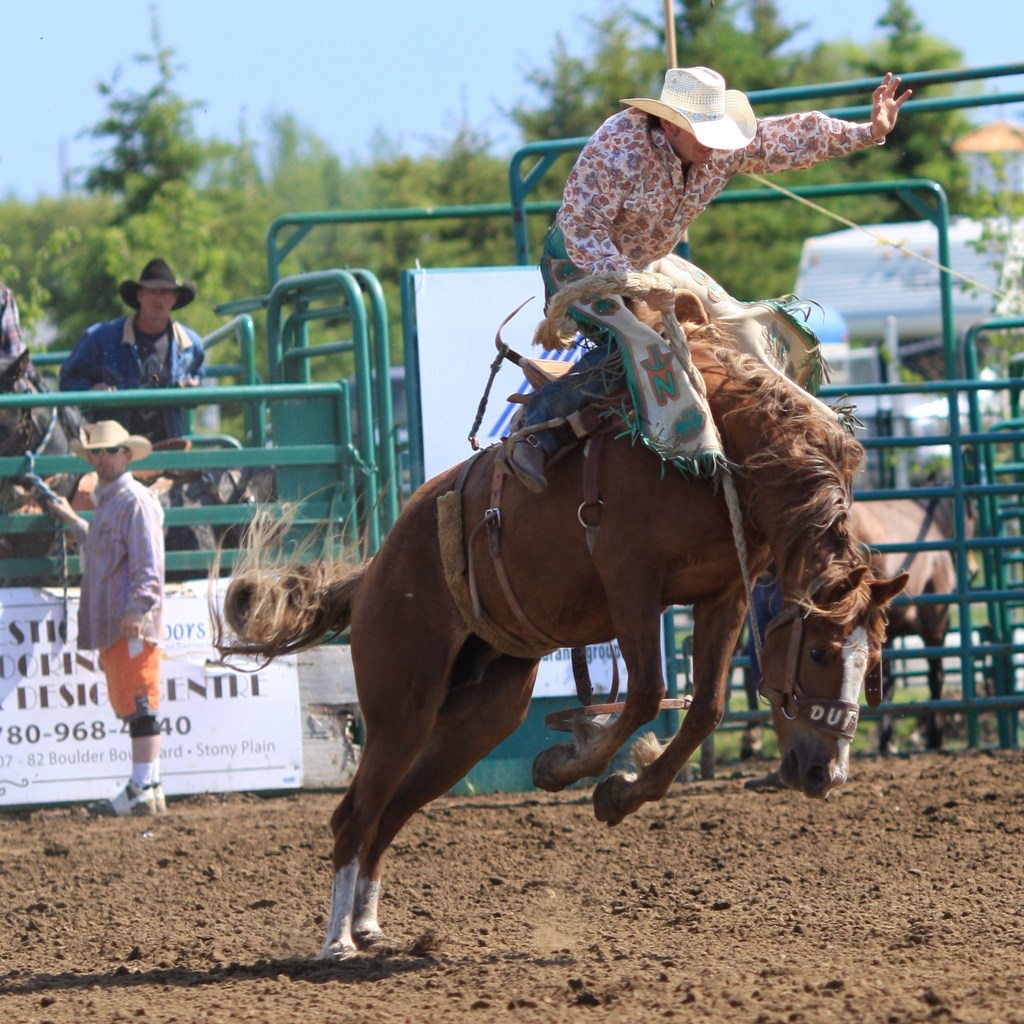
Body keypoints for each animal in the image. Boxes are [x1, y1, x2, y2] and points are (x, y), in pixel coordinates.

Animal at [209, 296, 905, 958]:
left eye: (873, 665)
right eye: (819, 653)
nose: (826, 774)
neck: (729, 447)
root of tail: (374, 573)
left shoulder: (725, 593)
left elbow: (705, 708)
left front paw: (619, 789)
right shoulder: (630, 580)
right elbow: (647, 694)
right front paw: (572, 762)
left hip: (480, 719)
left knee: (392, 809)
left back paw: (370, 926)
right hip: (401, 703)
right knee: (354, 815)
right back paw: (338, 941)